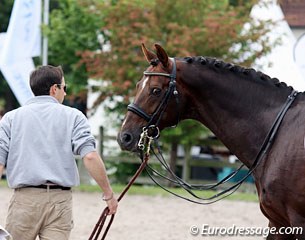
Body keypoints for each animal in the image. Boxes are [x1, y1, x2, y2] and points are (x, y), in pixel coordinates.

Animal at [117, 44, 305, 239]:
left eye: (156, 90)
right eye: (138, 85)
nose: (125, 137)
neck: (278, 132)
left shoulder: (298, 222)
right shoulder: (277, 222)